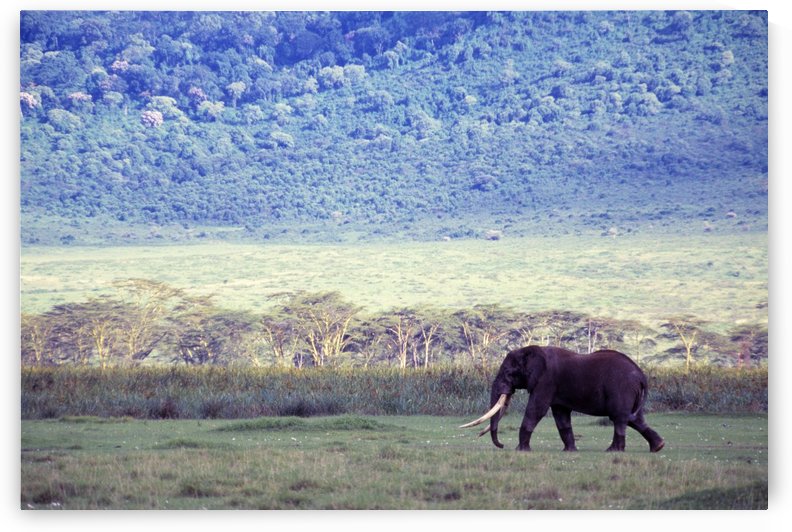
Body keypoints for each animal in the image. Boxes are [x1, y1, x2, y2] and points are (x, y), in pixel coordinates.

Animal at [460, 346, 665, 453]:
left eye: (509, 373)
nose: (502, 446)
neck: (532, 351)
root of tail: (641, 376)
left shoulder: (546, 380)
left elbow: (536, 409)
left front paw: (521, 451)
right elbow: (561, 416)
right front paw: (570, 451)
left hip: (622, 389)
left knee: (619, 418)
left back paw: (613, 451)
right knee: (634, 419)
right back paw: (657, 447)